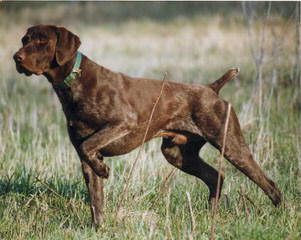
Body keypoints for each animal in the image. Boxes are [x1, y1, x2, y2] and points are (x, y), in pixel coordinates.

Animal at [13, 24, 282, 227]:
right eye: (25, 39)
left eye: (42, 41)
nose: (16, 57)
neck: (75, 82)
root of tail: (211, 89)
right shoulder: (84, 160)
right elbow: (95, 199)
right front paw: (98, 228)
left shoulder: (124, 121)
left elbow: (89, 145)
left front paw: (104, 169)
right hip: (177, 154)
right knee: (216, 177)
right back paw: (210, 216)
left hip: (232, 147)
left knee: (269, 184)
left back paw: (280, 212)